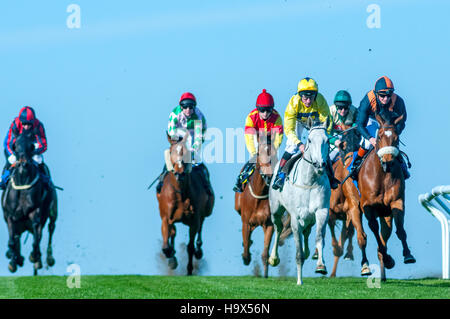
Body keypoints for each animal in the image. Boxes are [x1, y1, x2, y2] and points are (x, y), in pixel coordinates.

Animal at [1, 131, 57, 276]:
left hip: (53, 212)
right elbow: (12, 241)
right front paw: (13, 262)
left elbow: (36, 240)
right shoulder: (10, 216)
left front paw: (33, 257)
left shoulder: (35, 213)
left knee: (50, 229)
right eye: (15, 145)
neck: (22, 183)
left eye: (31, 146)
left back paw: (46, 258)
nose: (23, 164)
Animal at [156, 132, 214, 276]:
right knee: (173, 233)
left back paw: (199, 251)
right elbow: (166, 246)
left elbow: (190, 246)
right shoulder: (166, 217)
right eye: (171, 151)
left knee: (200, 229)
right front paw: (172, 259)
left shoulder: (194, 219)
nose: (179, 174)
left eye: (187, 152)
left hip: (205, 213)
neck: (180, 192)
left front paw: (189, 269)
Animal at [236, 135, 278, 278]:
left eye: (275, 153)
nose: (269, 176)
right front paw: (246, 258)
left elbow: (265, 253)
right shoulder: (246, 222)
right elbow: (246, 245)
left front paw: (265, 274)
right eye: (260, 153)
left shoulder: (269, 224)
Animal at [268, 121, 332, 286]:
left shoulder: (321, 211)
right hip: (275, 209)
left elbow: (319, 238)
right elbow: (298, 252)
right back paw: (273, 258)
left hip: (309, 217)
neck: (309, 181)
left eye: (327, 140)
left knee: (307, 231)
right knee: (278, 228)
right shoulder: (295, 218)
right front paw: (299, 281)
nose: (319, 164)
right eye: (309, 140)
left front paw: (321, 265)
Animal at [358, 111, 414, 282]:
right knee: (362, 236)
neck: (382, 176)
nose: (388, 162)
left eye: (396, 137)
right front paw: (388, 258)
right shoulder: (367, 206)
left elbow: (400, 229)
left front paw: (407, 255)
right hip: (353, 207)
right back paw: (369, 266)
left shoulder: (397, 201)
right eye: (380, 136)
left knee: (386, 233)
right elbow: (374, 229)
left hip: (386, 215)